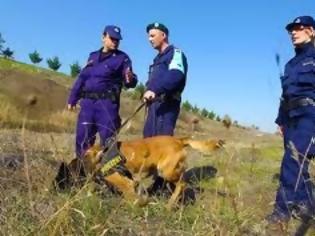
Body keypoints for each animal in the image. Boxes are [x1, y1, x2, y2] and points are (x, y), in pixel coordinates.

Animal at [55, 136, 223, 207]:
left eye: (62, 177)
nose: (55, 189)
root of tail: (179, 140)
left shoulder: (125, 184)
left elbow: (132, 198)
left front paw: (139, 204)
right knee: (178, 184)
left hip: (166, 171)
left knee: (182, 183)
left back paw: (170, 204)